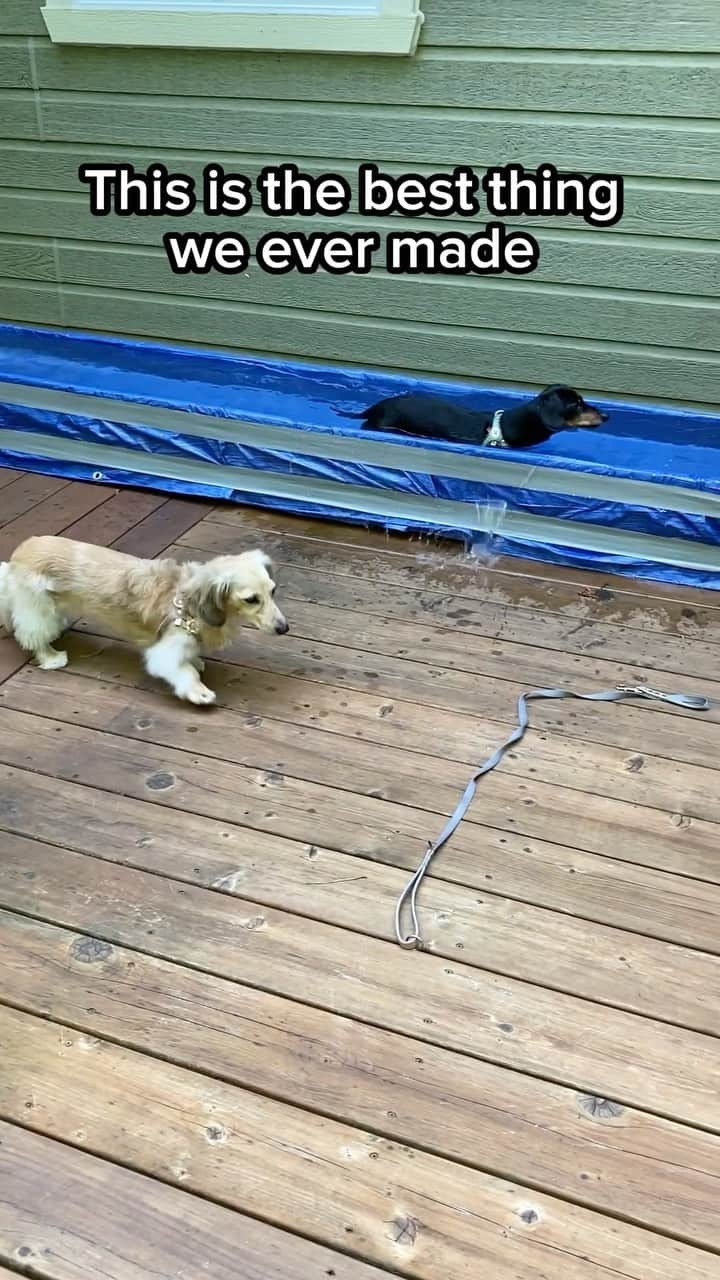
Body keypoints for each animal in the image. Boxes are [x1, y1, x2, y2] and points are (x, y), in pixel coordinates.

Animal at [0, 535, 285, 706]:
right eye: (251, 599)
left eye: (273, 591)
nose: (284, 628)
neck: (187, 602)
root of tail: (19, 552)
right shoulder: (165, 651)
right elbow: (185, 671)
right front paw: (198, 691)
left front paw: (196, 659)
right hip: (38, 609)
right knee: (31, 636)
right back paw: (51, 657)